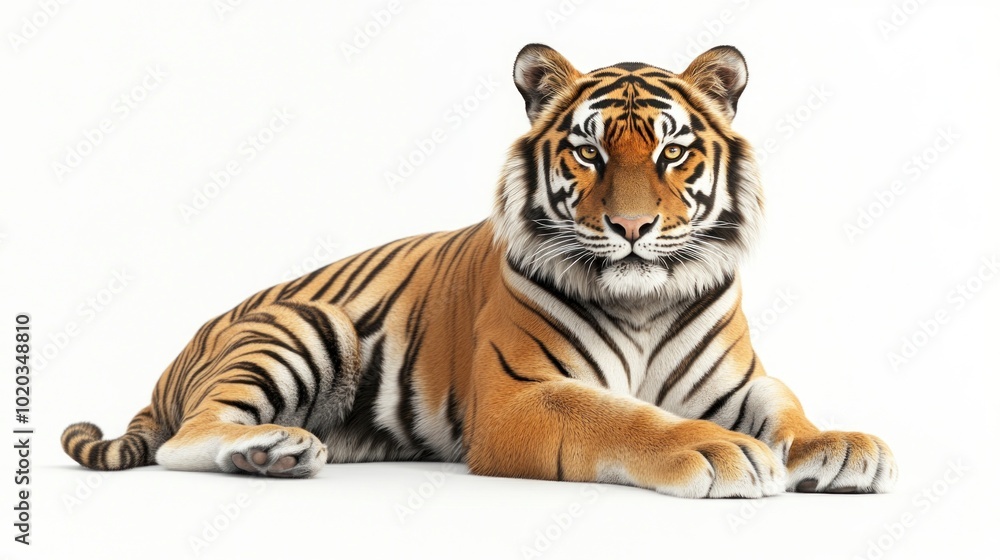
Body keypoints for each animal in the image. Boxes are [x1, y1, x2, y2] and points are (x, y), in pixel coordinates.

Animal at [61, 44, 897, 498]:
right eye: (588, 151)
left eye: (671, 151)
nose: (631, 228)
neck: (644, 303)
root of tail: (176, 360)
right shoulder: (520, 394)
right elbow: (621, 415)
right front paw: (716, 450)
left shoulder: (737, 381)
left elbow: (786, 404)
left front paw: (839, 446)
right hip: (309, 322)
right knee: (182, 440)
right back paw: (276, 446)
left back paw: (276, 454)